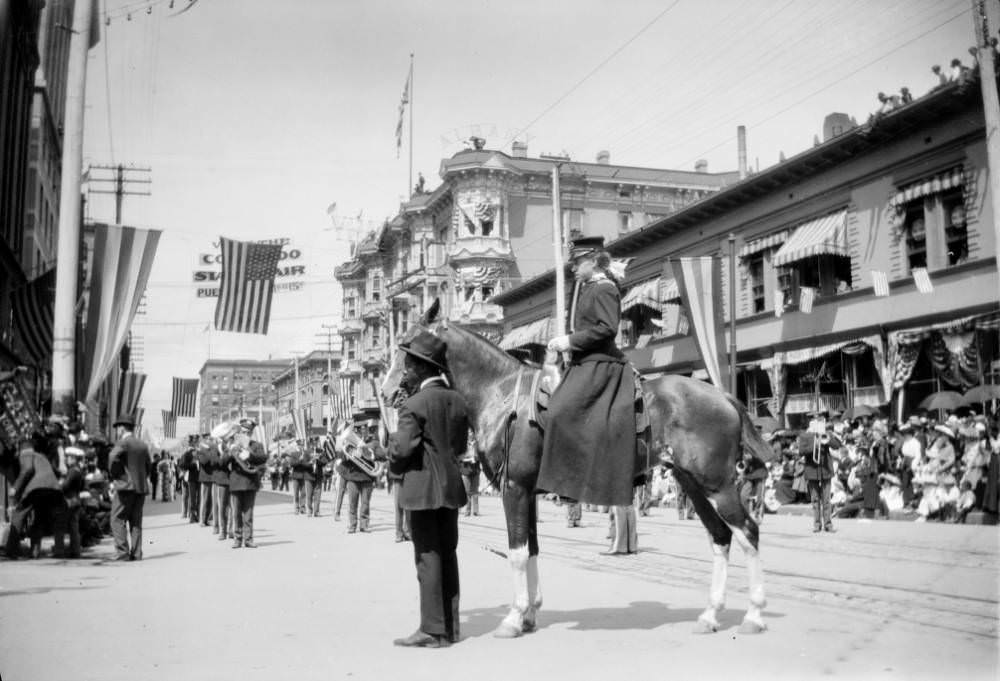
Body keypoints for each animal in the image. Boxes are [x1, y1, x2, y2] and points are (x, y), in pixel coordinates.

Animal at [382, 300, 772, 636]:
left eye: (407, 346)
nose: (386, 392)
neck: (502, 395)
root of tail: (723, 395)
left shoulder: (514, 489)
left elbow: (516, 553)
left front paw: (513, 617)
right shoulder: (528, 492)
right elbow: (532, 549)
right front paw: (530, 614)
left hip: (717, 485)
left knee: (748, 532)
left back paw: (753, 615)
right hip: (692, 483)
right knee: (721, 538)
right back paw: (710, 615)